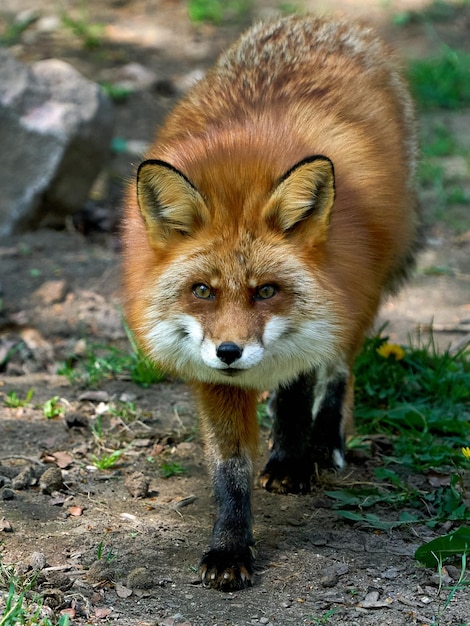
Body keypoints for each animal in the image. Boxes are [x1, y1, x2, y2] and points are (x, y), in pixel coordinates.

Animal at [121, 13, 418, 588]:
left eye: (266, 291)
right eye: (202, 291)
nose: (230, 352)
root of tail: (322, 21)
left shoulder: (324, 314)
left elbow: (300, 389)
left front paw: (292, 460)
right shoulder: (211, 378)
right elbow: (230, 469)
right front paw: (230, 546)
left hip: (358, 297)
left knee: (337, 371)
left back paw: (320, 444)